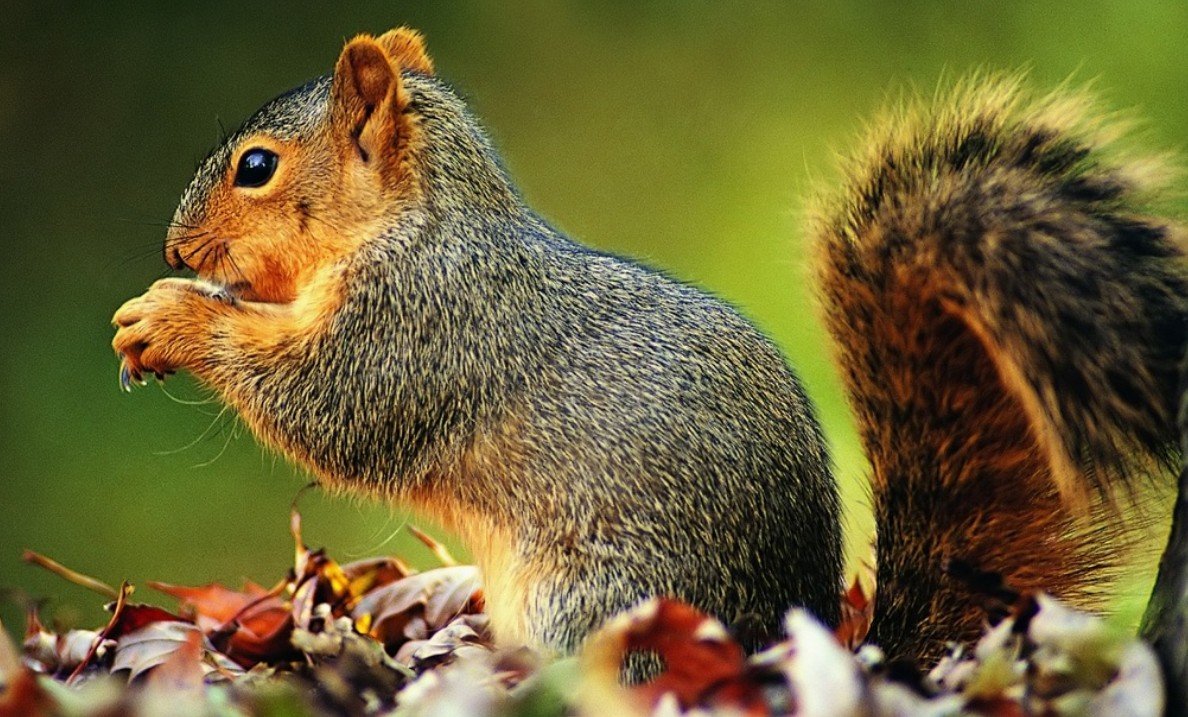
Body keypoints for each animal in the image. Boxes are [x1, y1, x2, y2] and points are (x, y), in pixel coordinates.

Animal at [112, 28, 1186, 667]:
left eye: (257, 167)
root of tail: (777, 634)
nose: (172, 248)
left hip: (595, 600)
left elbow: (328, 404)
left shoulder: (420, 325)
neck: (418, 222)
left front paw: (170, 316)